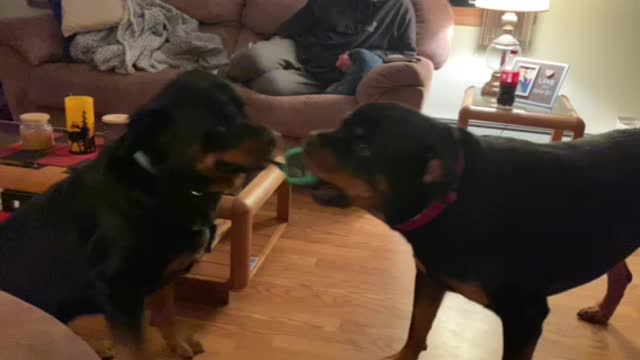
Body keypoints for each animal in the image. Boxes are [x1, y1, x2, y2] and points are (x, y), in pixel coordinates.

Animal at [0, 71, 276, 360]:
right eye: (219, 122)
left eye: (244, 110)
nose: (276, 137)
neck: (169, 184)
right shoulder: (119, 289)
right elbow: (134, 348)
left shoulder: (164, 277)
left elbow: (167, 316)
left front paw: (179, 345)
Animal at [302, 102, 636, 360]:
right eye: (341, 123)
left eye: (363, 149)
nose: (306, 138)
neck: (452, 199)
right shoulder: (429, 278)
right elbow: (416, 328)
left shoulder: (526, 316)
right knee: (622, 274)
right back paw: (601, 313)